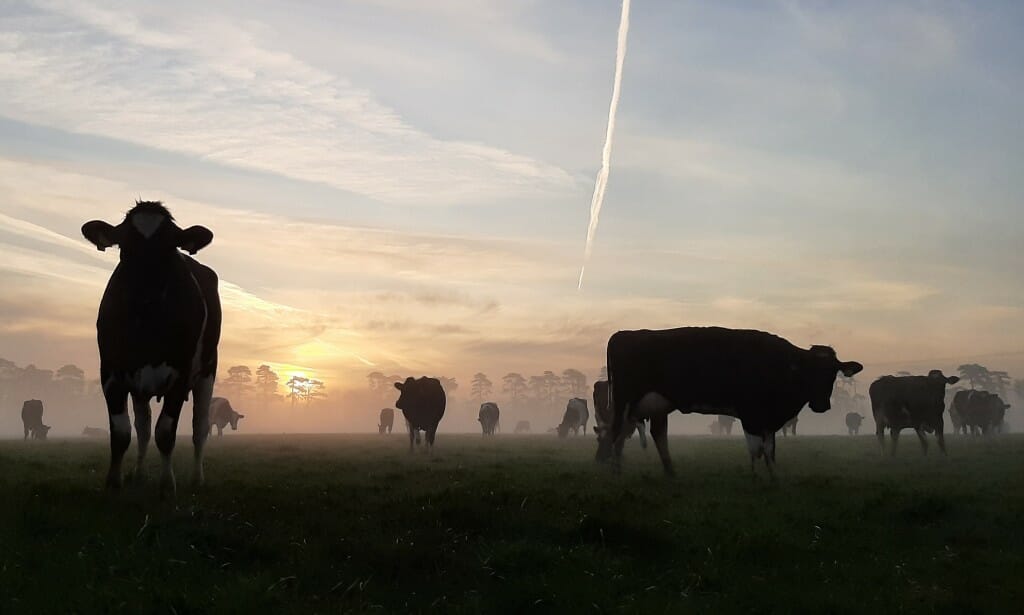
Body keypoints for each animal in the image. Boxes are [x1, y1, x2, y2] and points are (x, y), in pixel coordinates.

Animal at [82, 202, 221, 499]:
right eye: (124, 246)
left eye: (170, 247)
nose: (146, 293)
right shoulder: (110, 372)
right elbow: (121, 432)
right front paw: (114, 481)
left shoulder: (181, 375)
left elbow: (166, 433)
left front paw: (167, 483)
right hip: (139, 385)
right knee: (143, 427)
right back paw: (138, 474)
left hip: (207, 372)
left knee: (199, 427)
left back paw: (197, 478)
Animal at [598, 325, 860, 478]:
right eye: (810, 371)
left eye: (832, 373)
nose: (822, 406)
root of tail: (624, 333)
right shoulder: (750, 413)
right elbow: (756, 448)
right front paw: (756, 477)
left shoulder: (768, 419)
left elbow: (770, 449)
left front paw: (773, 475)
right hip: (624, 401)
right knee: (615, 432)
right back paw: (609, 470)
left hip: (654, 404)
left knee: (653, 434)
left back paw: (667, 471)